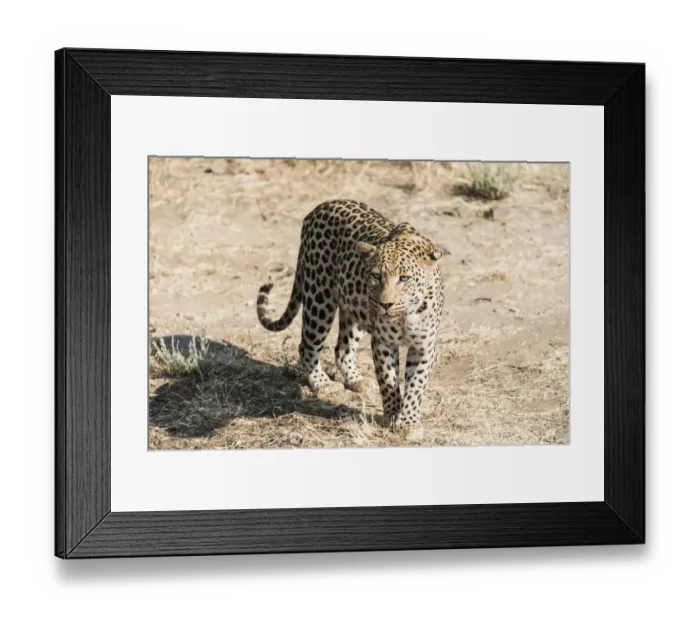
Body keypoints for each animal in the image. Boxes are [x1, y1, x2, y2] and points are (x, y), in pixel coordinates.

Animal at [256, 199, 448, 439]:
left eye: (404, 278)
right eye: (376, 275)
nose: (385, 305)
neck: (406, 314)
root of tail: (318, 208)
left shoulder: (424, 345)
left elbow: (416, 384)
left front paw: (408, 422)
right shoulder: (383, 342)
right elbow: (388, 380)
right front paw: (392, 415)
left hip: (353, 311)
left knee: (342, 348)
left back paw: (356, 380)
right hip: (320, 298)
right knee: (307, 345)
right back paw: (323, 384)